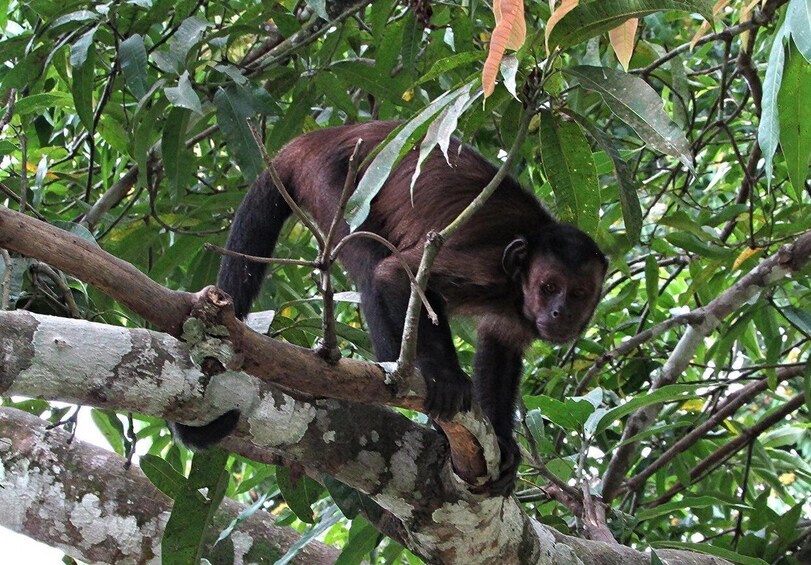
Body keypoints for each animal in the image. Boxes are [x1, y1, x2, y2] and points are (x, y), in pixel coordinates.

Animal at [176, 120, 608, 494]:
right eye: (549, 287)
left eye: (579, 293)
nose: (560, 313)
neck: (516, 284)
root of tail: (317, 138)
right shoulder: (487, 267)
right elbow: (396, 275)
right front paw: (444, 377)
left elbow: (500, 345)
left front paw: (502, 441)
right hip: (334, 180)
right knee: (371, 263)